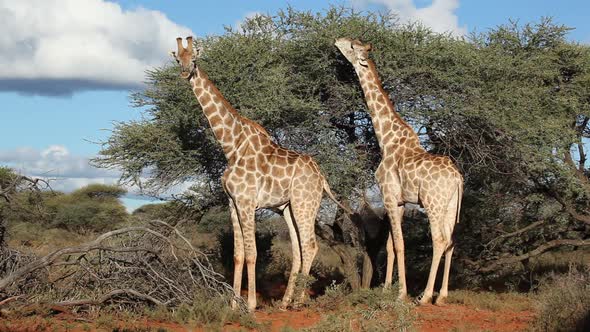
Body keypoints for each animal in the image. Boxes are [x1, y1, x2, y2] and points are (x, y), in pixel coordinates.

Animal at [171, 37, 352, 312]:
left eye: (194, 59)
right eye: (177, 59)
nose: (184, 72)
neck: (231, 147)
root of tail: (322, 178)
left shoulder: (247, 202)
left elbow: (252, 253)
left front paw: (251, 305)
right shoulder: (233, 203)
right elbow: (237, 254)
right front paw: (233, 304)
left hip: (305, 203)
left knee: (310, 245)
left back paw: (298, 301)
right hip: (289, 208)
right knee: (298, 249)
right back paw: (285, 302)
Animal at [336, 37, 464, 304]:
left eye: (352, 47)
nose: (337, 40)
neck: (387, 139)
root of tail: (458, 178)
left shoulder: (388, 195)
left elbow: (399, 244)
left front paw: (401, 294)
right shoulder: (400, 201)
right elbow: (389, 246)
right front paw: (386, 289)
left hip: (433, 203)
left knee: (439, 240)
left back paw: (425, 297)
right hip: (450, 205)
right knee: (451, 241)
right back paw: (442, 296)